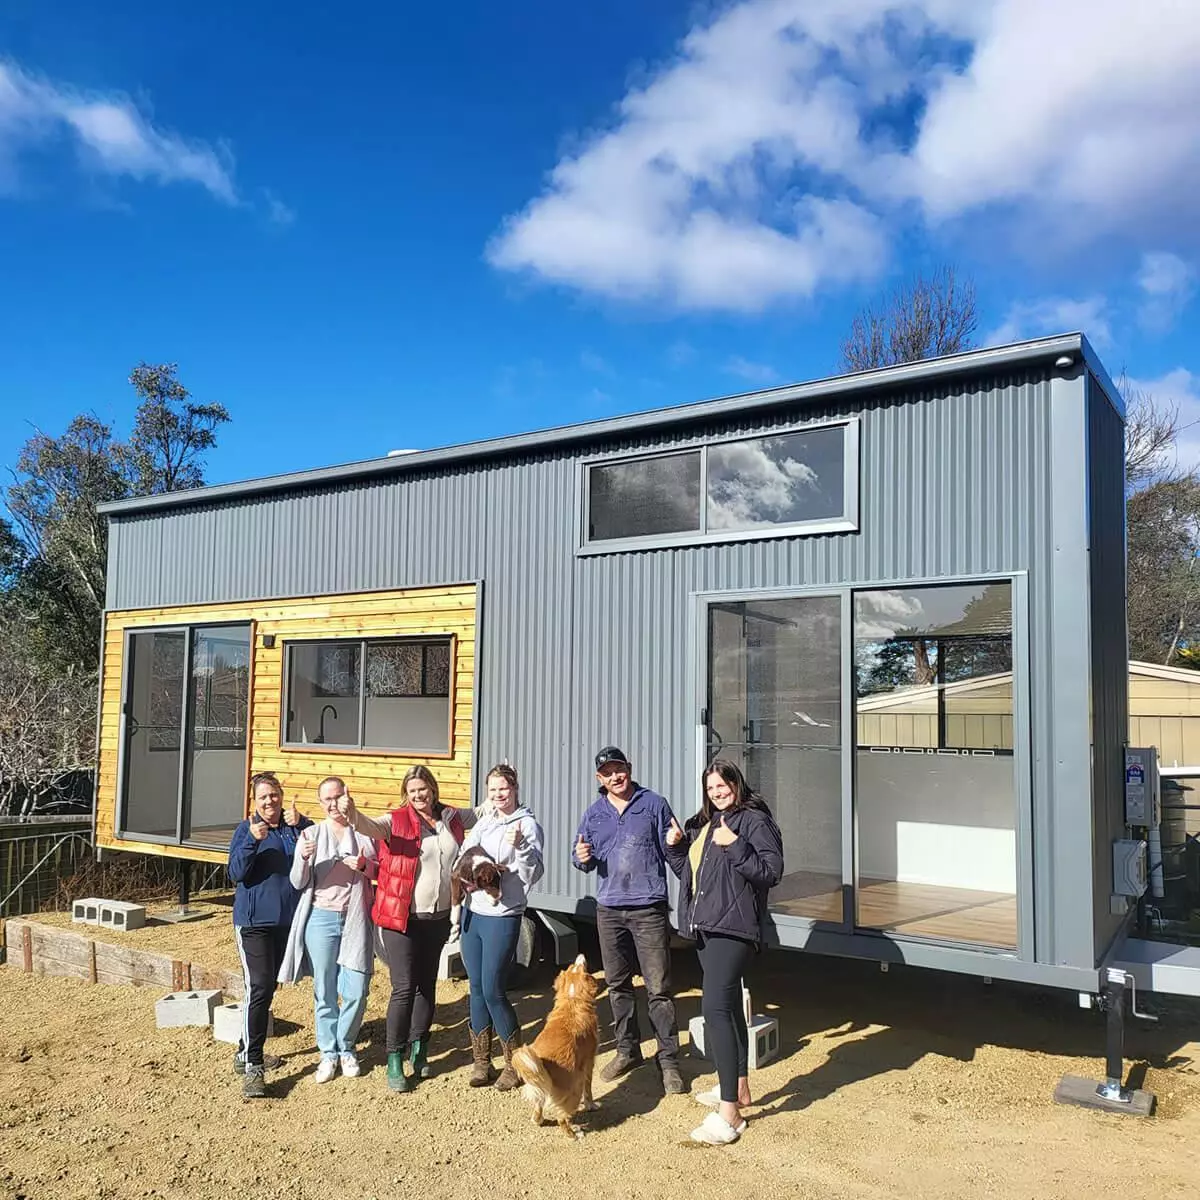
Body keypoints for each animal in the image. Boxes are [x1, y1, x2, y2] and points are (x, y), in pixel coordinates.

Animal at [511, 950, 600, 1137]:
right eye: (580, 966)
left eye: (573, 966)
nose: (580, 954)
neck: (572, 1000)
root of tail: (543, 1062)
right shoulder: (589, 1062)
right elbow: (589, 1091)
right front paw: (591, 1106)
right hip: (575, 1087)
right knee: (562, 1118)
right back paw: (574, 1134)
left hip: (540, 1085)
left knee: (539, 1105)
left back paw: (538, 1120)